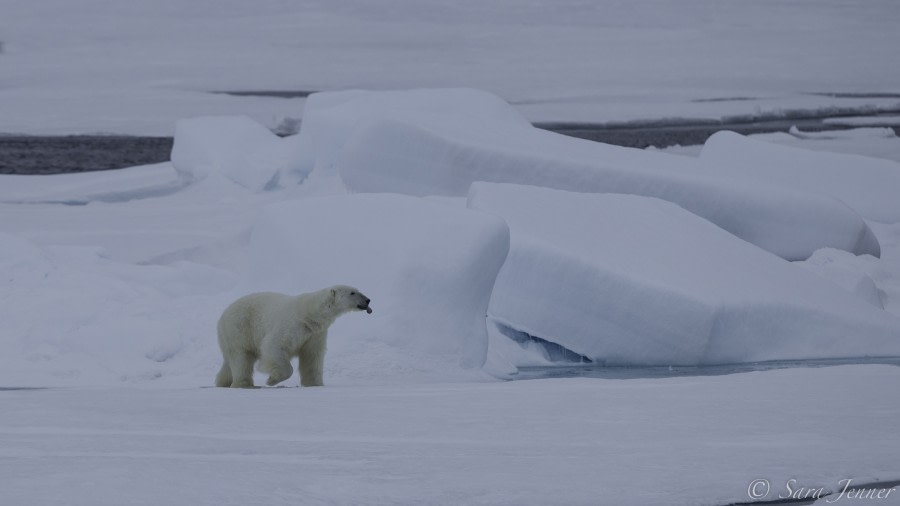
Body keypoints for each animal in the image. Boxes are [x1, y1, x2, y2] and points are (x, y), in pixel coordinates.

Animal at [213, 284, 370, 388]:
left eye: (357, 290)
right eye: (352, 293)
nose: (368, 300)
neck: (309, 314)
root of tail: (222, 317)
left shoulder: (314, 334)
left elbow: (312, 356)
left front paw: (315, 383)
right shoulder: (291, 325)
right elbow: (274, 346)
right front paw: (271, 379)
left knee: (231, 361)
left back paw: (223, 382)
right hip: (239, 328)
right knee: (241, 357)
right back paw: (243, 384)